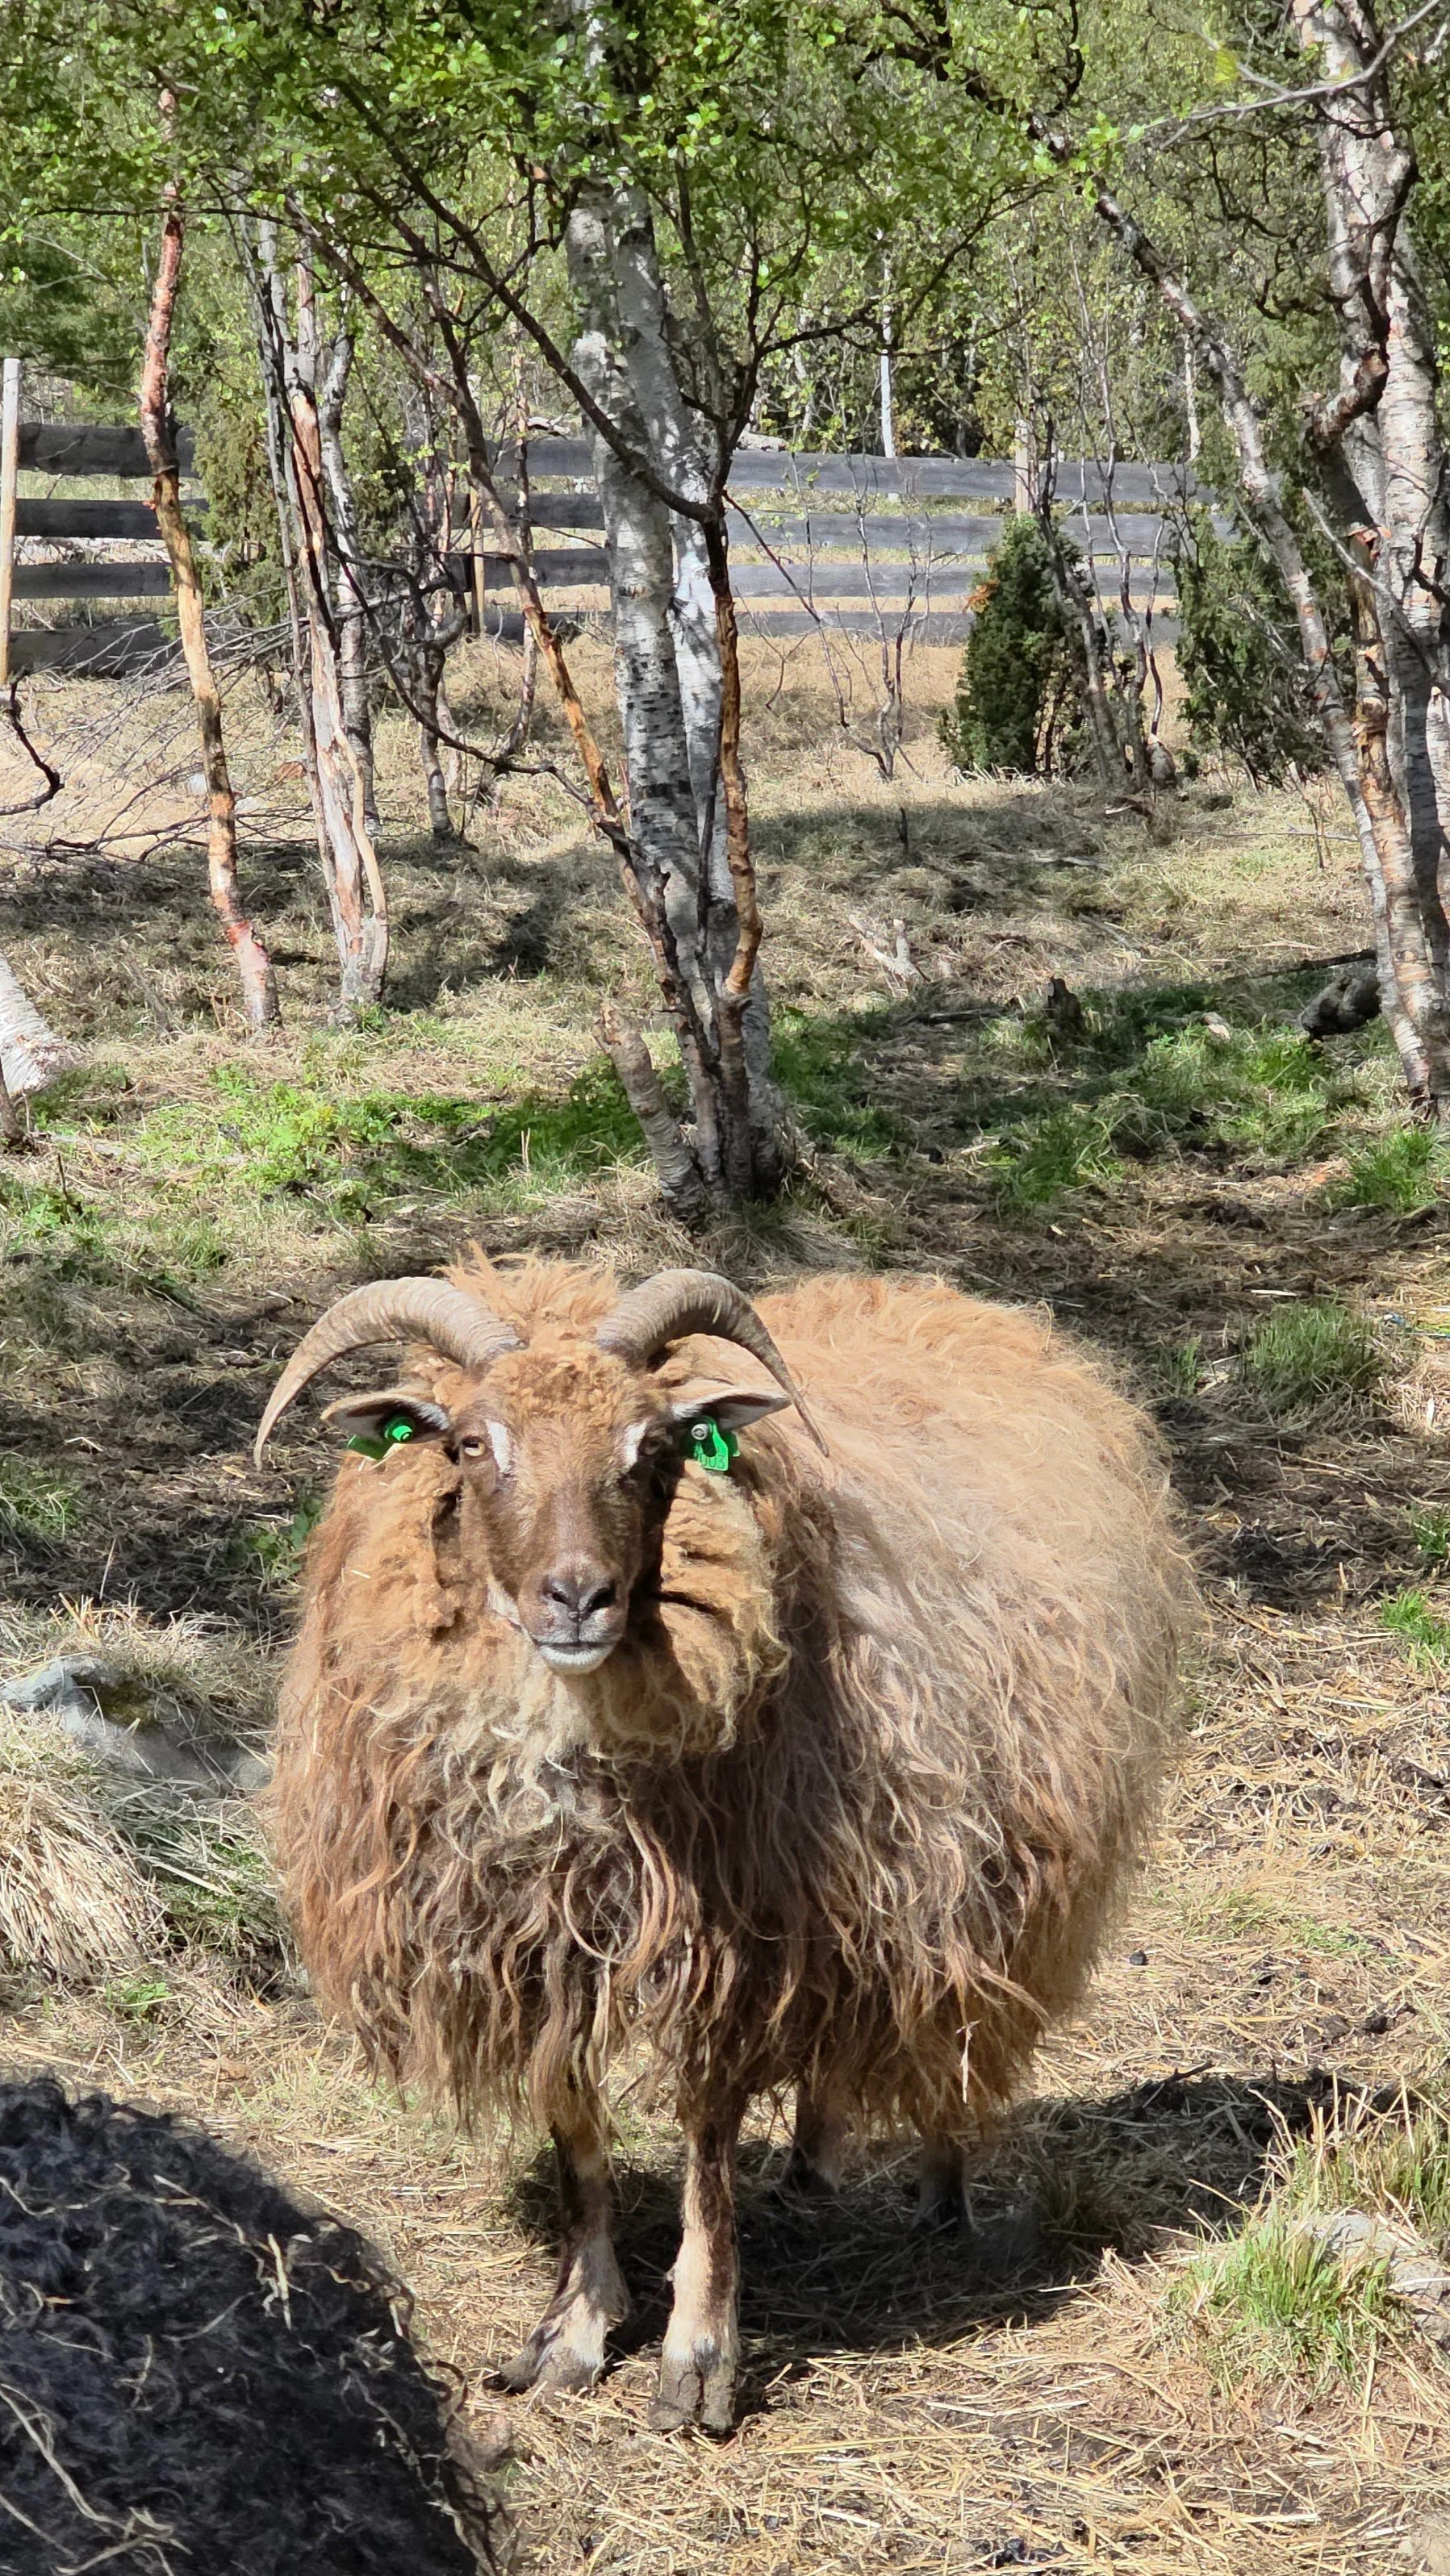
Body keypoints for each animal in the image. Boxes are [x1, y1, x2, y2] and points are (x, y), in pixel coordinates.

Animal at [257, 1257, 1190, 2432]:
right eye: (469, 1442)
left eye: (654, 1448)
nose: (579, 1597)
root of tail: (955, 1301)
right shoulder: (544, 1942)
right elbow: (575, 2134)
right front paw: (573, 2328)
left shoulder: (735, 1936)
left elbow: (705, 2143)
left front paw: (697, 2357)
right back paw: (811, 2162)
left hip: (983, 1865)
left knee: (952, 2020)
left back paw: (943, 2192)